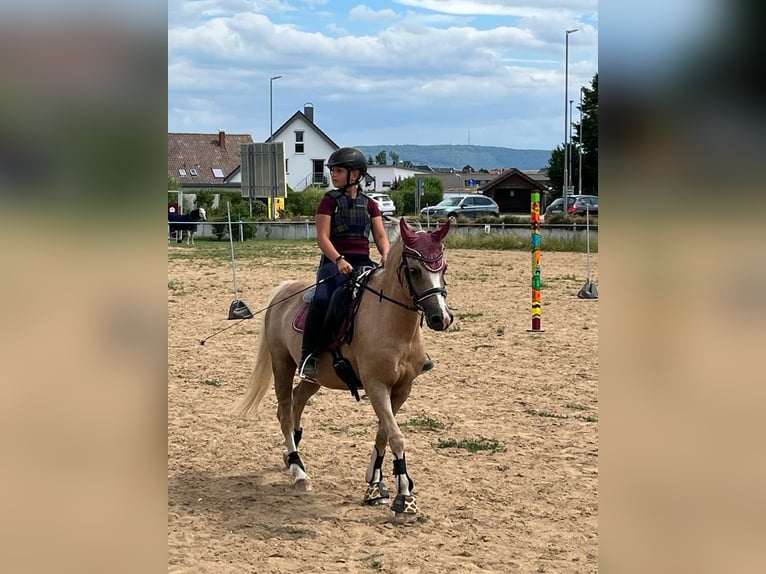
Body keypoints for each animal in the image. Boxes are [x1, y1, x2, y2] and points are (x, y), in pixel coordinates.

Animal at [237, 218, 452, 524]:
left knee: (295, 403)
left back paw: (291, 456)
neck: (392, 322)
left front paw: (376, 485)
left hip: (314, 377)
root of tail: (285, 289)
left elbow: (383, 433)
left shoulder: (402, 389)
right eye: (414, 270)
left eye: (443, 268)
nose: (440, 318)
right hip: (282, 364)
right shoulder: (376, 386)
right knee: (285, 412)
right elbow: (396, 436)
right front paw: (405, 500)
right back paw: (299, 472)